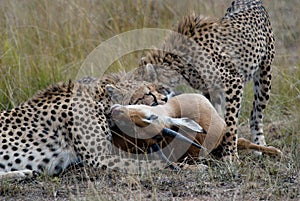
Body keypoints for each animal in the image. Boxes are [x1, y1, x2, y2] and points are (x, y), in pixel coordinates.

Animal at [130, 0, 276, 161]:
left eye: (146, 93)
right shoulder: (209, 90)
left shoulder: (234, 82)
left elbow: (231, 123)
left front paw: (230, 155)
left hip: (265, 76)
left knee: (256, 114)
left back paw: (260, 144)